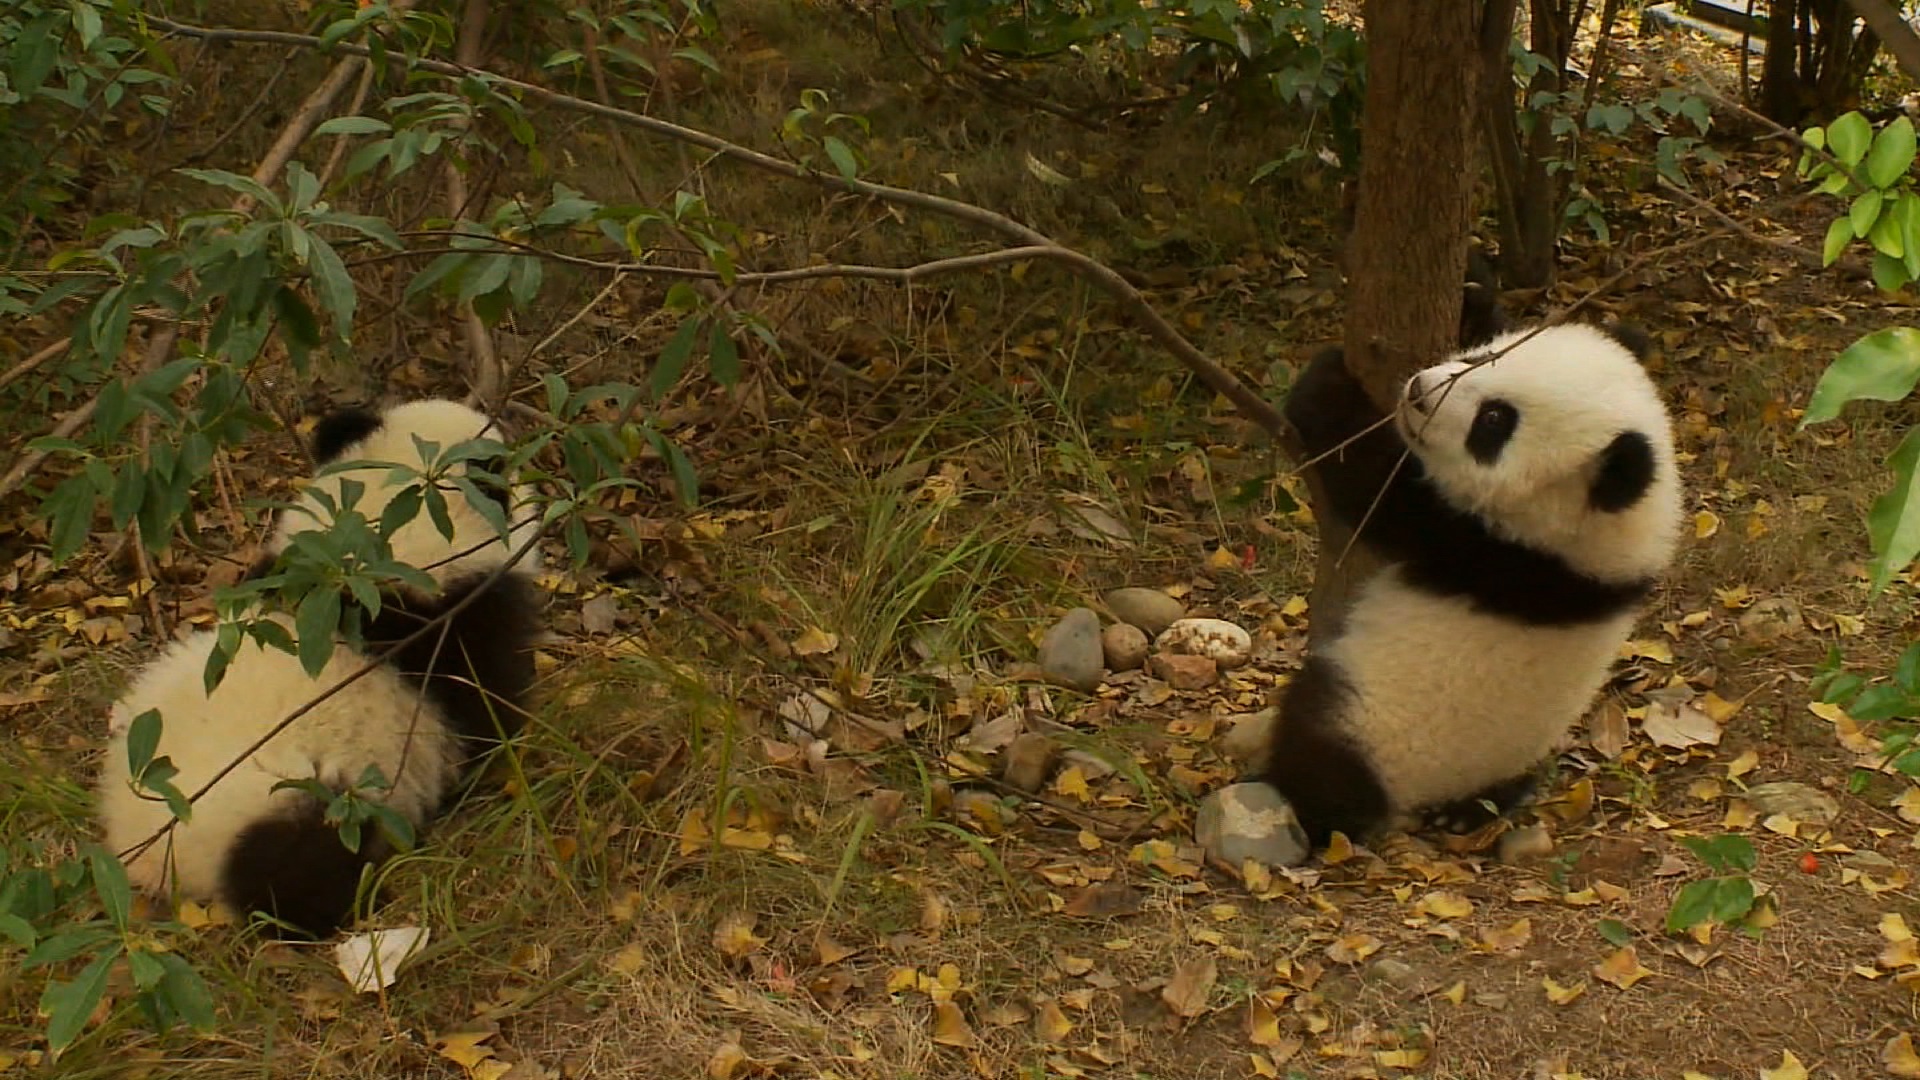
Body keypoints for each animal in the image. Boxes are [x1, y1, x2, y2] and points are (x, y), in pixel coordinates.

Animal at [96, 399, 544, 937]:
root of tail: (152, 862)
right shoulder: (456, 622)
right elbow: (486, 712)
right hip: (294, 801)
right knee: (295, 865)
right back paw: (353, 898)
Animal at [1256, 318, 1683, 851]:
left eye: (1494, 421)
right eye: (1482, 356)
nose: (1419, 391)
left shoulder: (1489, 549)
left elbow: (1373, 486)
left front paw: (1326, 380)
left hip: (1372, 724)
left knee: (1320, 755)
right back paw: (1473, 812)